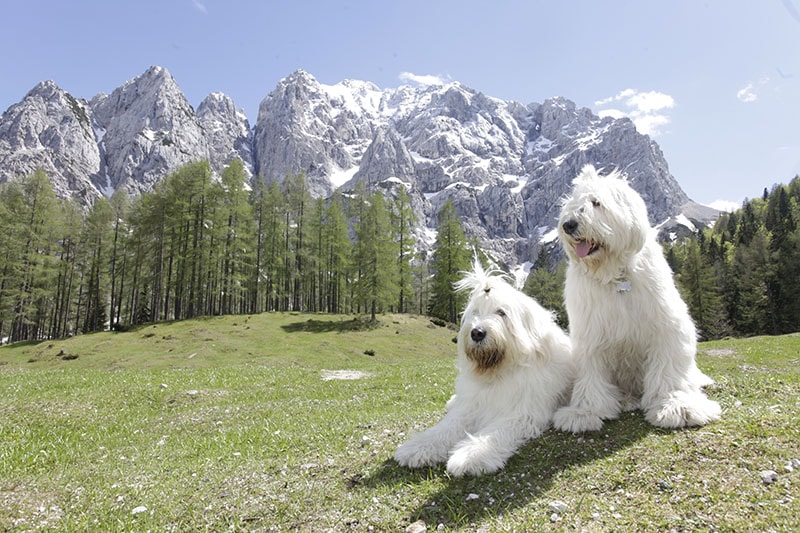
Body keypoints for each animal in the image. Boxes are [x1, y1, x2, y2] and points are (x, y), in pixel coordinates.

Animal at [396, 260, 572, 474]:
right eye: (475, 312)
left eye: (501, 312)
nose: (477, 332)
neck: (497, 372)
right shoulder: (470, 406)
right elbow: (446, 427)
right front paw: (417, 447)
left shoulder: (521, 412)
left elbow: (494, 432)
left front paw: (471, 456)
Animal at [552, 165, 720, 432]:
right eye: (571, 204)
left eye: (596, 202)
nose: (568, 225)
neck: (616, 276)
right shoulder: (591, 336)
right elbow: (591, 374)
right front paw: (585, 411)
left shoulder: (666, 327)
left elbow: (667, 370)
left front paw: (677, 405)